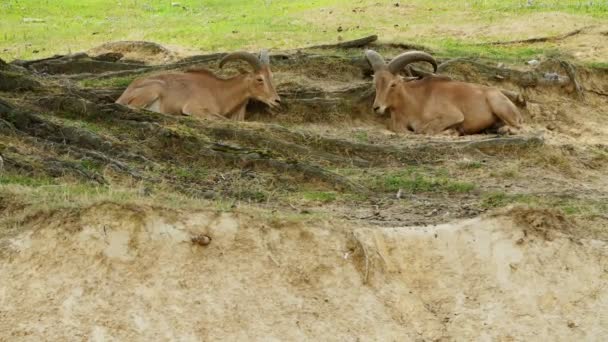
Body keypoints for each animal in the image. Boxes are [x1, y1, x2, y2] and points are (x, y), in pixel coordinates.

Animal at [116, 50, 280, 121]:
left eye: (271, 76)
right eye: (259, 79)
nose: (277, 101)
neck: (220, 92)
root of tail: (125, 93)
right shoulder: (193, 108)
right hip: (153, 90)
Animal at [366, 49, 524, 135]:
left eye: (393, 84)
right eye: (375, 83)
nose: (376, 107)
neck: (415, 102)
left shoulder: (453, 116)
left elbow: (424, 129)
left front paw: (452, 132)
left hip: (499, 106)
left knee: (520, 127)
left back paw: (505, 130)